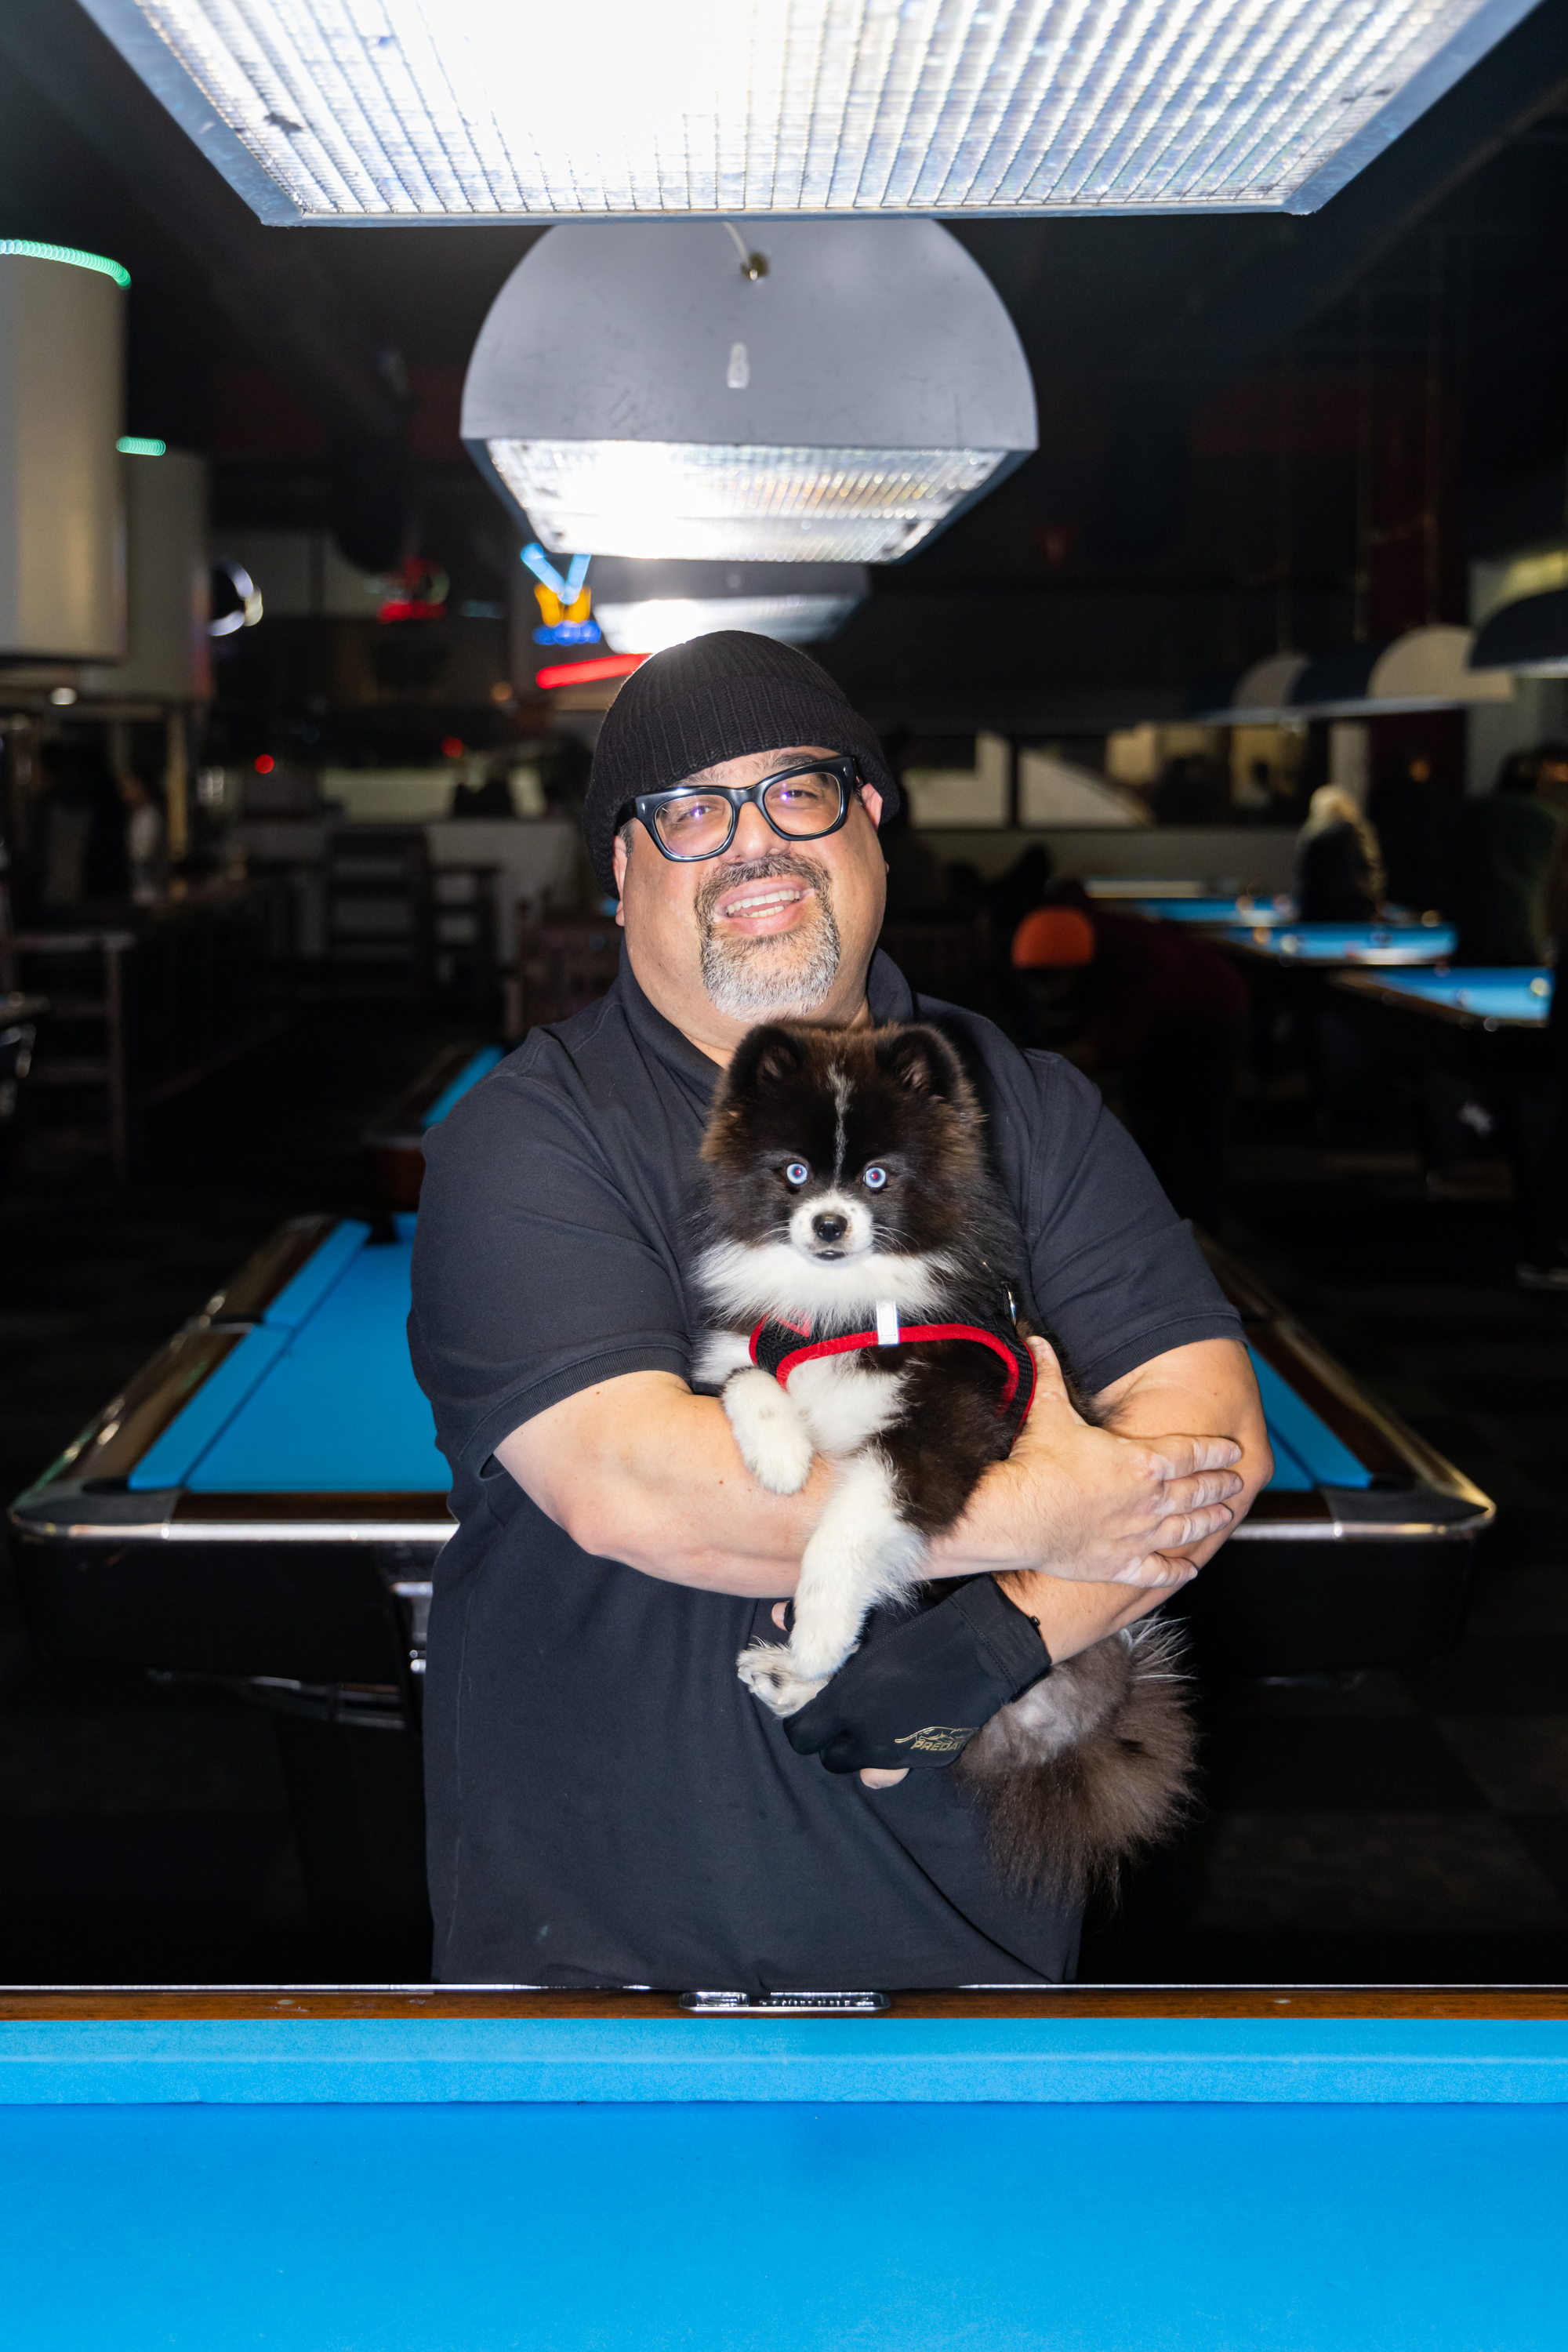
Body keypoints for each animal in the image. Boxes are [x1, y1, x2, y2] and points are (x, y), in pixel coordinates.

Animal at [691, 1021, 1194, 1900]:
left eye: (877, 1178)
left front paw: (817, 1629)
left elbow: (850, 1528)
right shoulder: (738, 1350)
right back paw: (790, 1680)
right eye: (794, 1173)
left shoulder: (945, 1429)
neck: (848, 1308)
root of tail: (1085, 1718)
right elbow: (748, 1374)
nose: (829, 1225)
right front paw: (781, 1453)